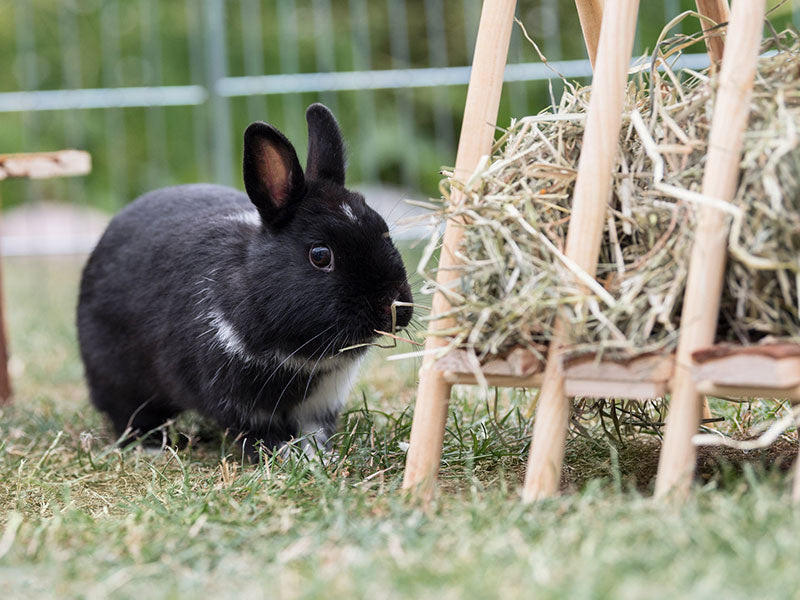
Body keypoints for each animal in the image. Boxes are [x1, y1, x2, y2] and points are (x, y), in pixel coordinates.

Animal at [77, 103, 413, 458]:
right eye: (320, 255)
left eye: (384, 230)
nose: (393, 307)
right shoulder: (239, 400)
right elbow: (258, 432)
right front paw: (281, 454)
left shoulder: (322, 398)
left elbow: (314, 429)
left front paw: (319, 455)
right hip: (119, 381)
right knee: (130, 418)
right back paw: (152, 447)